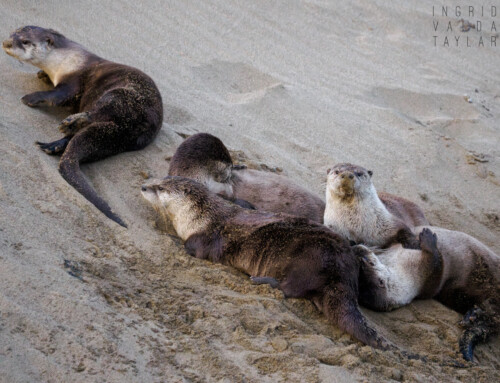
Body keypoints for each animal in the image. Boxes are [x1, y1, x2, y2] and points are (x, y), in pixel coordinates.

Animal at [2, 26, 163, 228]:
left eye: (24, 41)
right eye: (12, 33)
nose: (6, 43)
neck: (66, 60)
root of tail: (147, 124)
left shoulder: (73, 81)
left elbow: (59, 95)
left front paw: (30, 97)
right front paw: (41, 75)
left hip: (122, 96)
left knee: (98, 111)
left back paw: (72, 122)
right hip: (119, 137)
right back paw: (54, 145)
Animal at [141, 176, 390, 352]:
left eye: (161, 188)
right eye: (158, 180)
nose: (143, 186)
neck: (199, 217)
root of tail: (345, 271)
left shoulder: (211, 235)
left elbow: (194, 247)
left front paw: (171, 235)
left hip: (310, 258)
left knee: (291, 288)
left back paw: (260, 280)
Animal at [356, 228, 500, 364]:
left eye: (366, 260)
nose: (357, 248)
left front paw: (413, 239)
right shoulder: (427, 277)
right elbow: (437, 262)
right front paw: (427, 237)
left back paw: (472, 315)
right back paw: (472, 316)